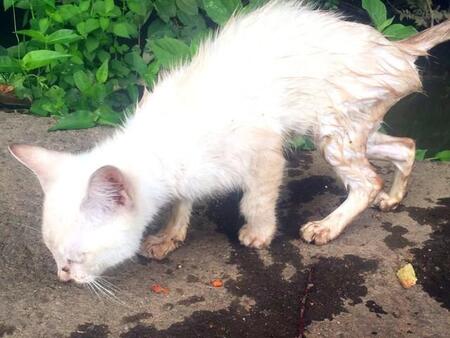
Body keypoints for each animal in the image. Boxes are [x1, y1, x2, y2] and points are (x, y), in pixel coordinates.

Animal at [7, 1, 450, 284]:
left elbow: (256, 200)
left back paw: (328, 227)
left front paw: (258, 234)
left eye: (75, 258)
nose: (63, 277)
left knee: (367, 180)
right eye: (54, 256)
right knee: (406, 145)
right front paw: (170, 236)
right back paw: (393, 197)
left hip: (333, 131)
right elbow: (181, 202)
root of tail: (394, 46)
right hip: (348, 130)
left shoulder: (266, 154)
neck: (160, 141)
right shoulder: (186, 175)